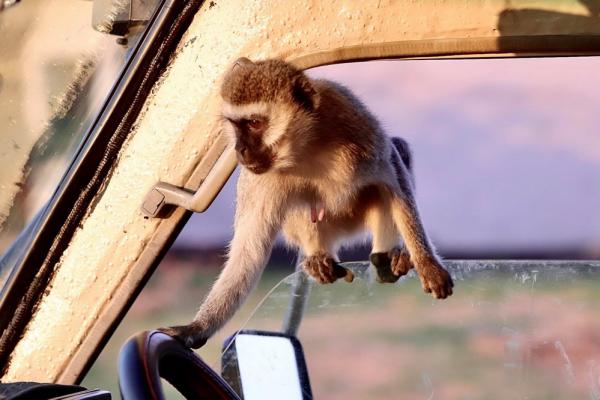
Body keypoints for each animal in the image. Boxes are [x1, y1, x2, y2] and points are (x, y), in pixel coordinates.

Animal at [162, 57, 452, 348]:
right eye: (235, 125)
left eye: (254, 123)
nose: (239, 150)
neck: (306, 146)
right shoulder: (258, 182)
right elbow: (248, 252)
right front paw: (196, 327)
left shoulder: (360, 129)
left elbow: (393, 177)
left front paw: (427, 262)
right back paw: (318, 256)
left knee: (396, 154)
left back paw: (388, 255)